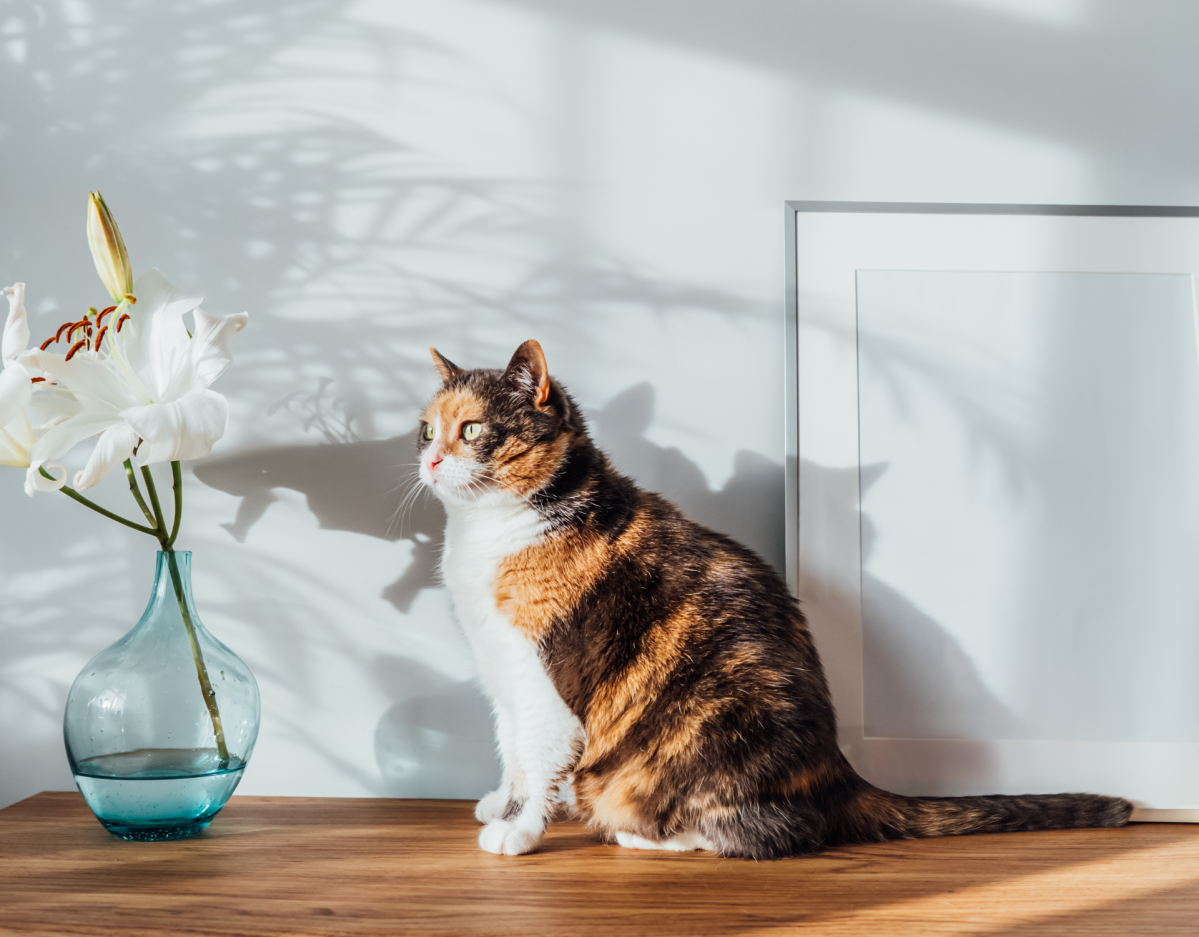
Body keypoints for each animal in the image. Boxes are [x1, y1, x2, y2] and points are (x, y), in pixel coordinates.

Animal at [414, 340, 1131, 859]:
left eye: (472, 430)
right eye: (425, 431)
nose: (428, 462)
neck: (497, 531)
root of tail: (841, 772)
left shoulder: (544, 680)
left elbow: (537, 758)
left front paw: (518, 829)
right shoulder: (502, 670)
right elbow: (511, 748)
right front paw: (497, 801)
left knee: (780, 834)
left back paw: (641, 834)